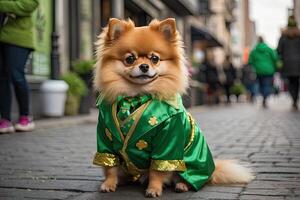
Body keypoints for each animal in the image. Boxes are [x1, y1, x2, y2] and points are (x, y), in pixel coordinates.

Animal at [93, 18, 253, 198]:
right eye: (130, 59)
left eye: (154, 58)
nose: (144, 66)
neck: (136, 96)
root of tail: (211, 172)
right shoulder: (106, 139)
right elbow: (110, 167)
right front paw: (109, 183)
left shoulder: (168, 142)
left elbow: (157, 171)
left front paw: (154, 188)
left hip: (190, 163)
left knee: (185, 177)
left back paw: (182, 185)